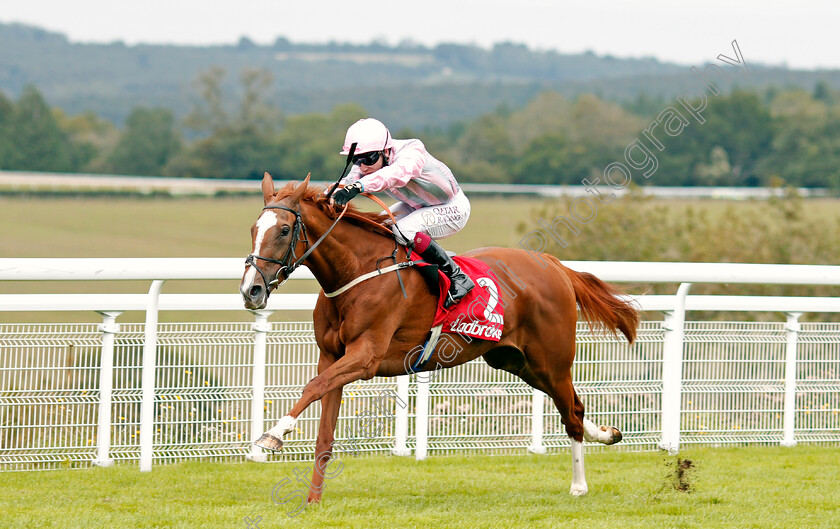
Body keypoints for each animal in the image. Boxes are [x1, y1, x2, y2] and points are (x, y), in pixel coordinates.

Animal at [240, 174, 640, 504]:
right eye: (254, 228)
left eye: (284, 230)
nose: (251, 291)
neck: (357, 271)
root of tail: (554, 264)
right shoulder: (331, 355)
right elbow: (323, 424)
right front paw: (312, 500)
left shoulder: (366, 357)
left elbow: (312, 387)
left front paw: (272, 436)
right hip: (516, 360)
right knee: (574, 405)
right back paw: (608, 434)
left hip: (551, 360)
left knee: (570, 412)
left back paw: (579, 485)